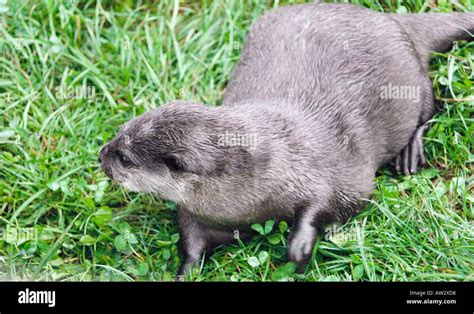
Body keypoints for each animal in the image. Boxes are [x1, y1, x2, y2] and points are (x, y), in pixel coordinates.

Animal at [98, 2, 472, 278]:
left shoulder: (321, 168)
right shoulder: (197, 211)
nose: (102, 155)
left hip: (412, 78)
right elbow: (190, 238)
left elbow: (329, 201)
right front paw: (185, 271)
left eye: (125, 157)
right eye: (119, 132)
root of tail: (390, 19)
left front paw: (299, 248)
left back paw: (410, 152)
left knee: (429, 107)